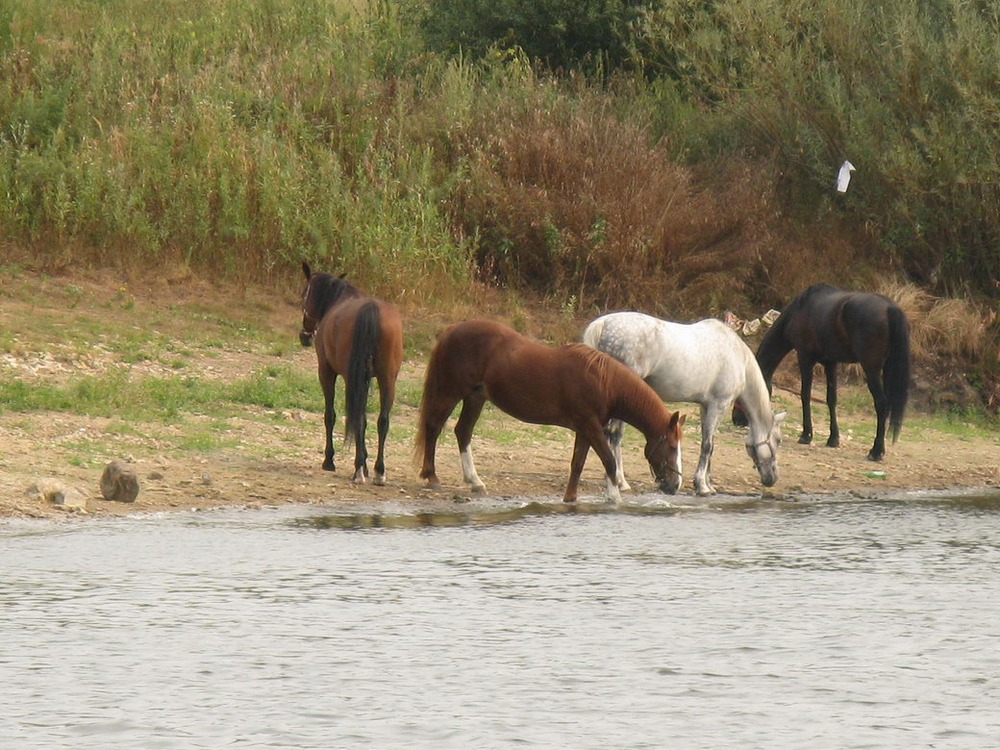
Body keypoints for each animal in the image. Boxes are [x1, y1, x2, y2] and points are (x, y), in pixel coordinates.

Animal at [298, 264, 404, 488]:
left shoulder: (327, 372)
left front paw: (329, 460)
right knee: (382, 421)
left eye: (304, 294)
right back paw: (379, 471)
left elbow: (330, 415)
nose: (304, 336)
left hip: (351, 379)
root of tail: (371, 310)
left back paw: (358, 469)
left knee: (358, 420)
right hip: (387, 380)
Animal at [410, 318, 684, 506]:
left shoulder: (585, 429)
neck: (604, 381)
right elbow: (608, 459)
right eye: (671, 447)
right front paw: (614, 498)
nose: (674, 486)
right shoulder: (591, 426)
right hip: (451, 391)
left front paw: (570, 498)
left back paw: (475, 481)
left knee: (463, 432)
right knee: (434, 426)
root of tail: (452, 330)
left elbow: (578, 463)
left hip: (475, 397)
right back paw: (432, 477)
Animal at [584, 312, 784, 500]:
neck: (739, 359)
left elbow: (709, 444)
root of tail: (603, 323)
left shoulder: (705, 407)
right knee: (615, 434)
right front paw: (702, 486)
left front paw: (708, 484)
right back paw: (621, 481)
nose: (772, 478)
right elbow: (707, 445)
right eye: (778, 440)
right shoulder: (719, 405)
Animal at [744, 284, 916, 462]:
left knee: (881, 403)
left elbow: (805, 395)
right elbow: (831, 399)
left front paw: (806, 435)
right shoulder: (830, 363)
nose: (738, 421)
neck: (798, 310)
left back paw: (876, 451)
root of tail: (890, 308)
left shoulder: (805, 358)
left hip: (871, 370)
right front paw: (833, 439)